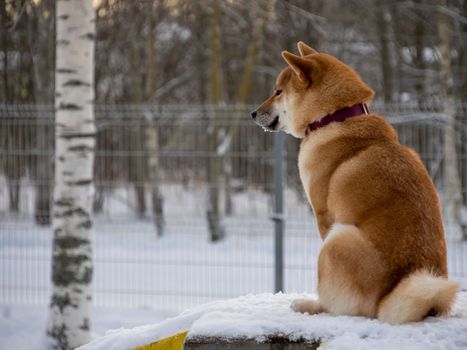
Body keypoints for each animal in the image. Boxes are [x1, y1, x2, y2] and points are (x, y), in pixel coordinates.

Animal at [250, 41, 458, 326]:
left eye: (278, 91)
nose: (252, 113)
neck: (337, 117)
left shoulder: (324, 216)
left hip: (337, 239)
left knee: (341, 307)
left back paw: (309, 304)